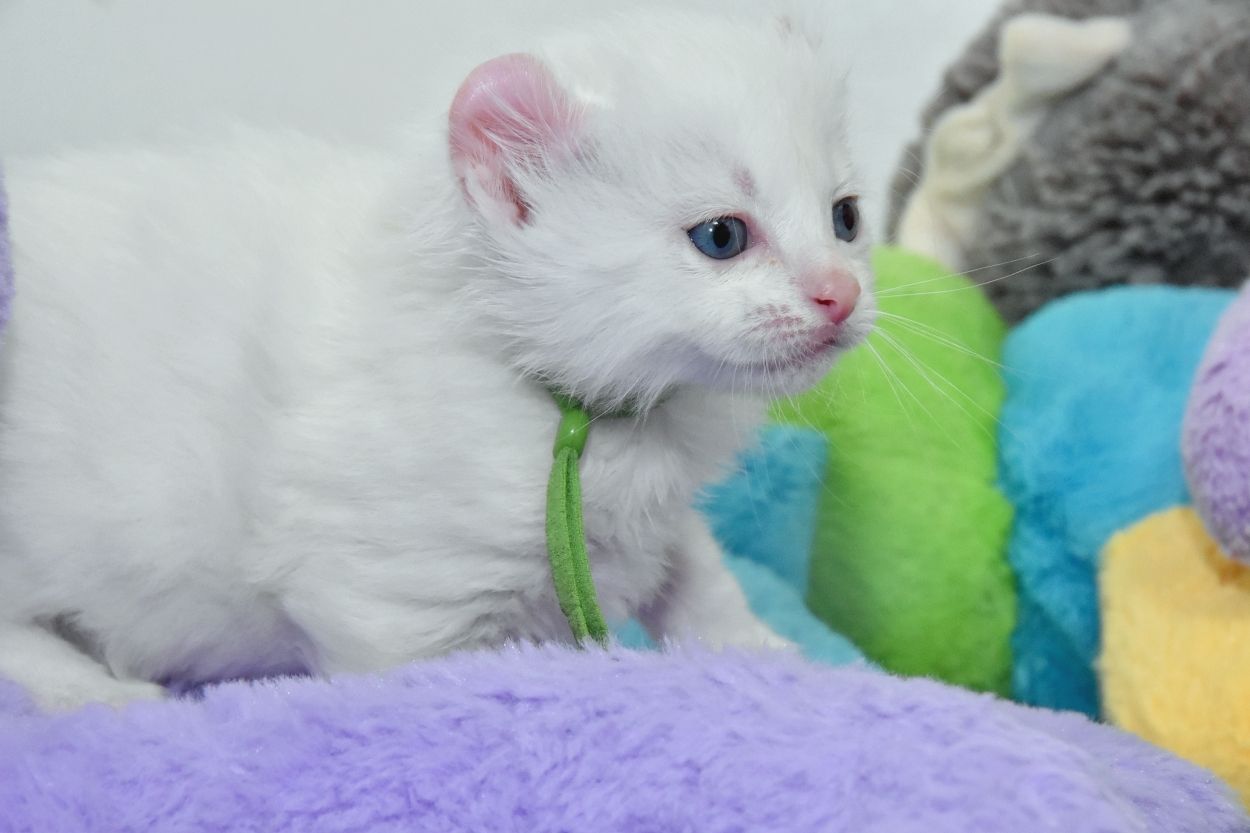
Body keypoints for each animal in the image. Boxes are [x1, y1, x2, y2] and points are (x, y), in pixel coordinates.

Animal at [0, 4, 875, 711]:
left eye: (846, 218)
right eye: (721, 236)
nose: (840, 294)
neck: (579, 414)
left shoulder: (662, 521)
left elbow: (702, 579)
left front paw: (777, 660)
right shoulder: (388, 600)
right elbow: (424, 688)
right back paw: (99, 694)